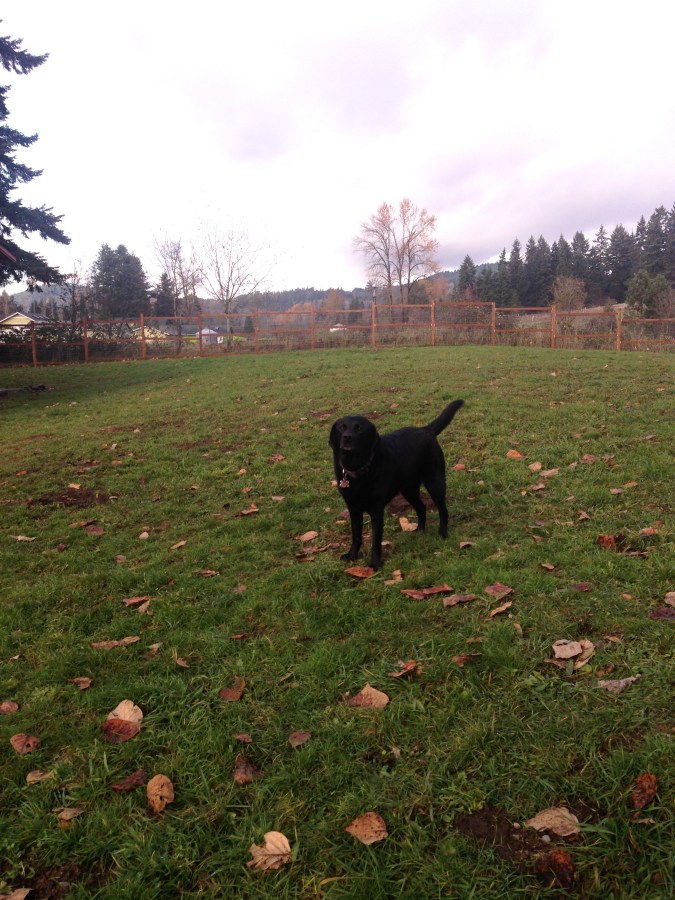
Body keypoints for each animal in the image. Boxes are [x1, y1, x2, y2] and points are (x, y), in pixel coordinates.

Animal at [329, 400, 464, 570]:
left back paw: (443, 533)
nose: (347, 437)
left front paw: (375, 564)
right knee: (422, 508)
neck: (357, 469)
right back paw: (420, 530)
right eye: (342, 427)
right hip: (409, 490)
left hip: (435, 482)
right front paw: (352, 555)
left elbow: (375, 541)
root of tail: (426, 429)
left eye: (359, 428)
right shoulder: (353, 509)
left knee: (443, 510)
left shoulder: (376, 511)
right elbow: (356, 536)